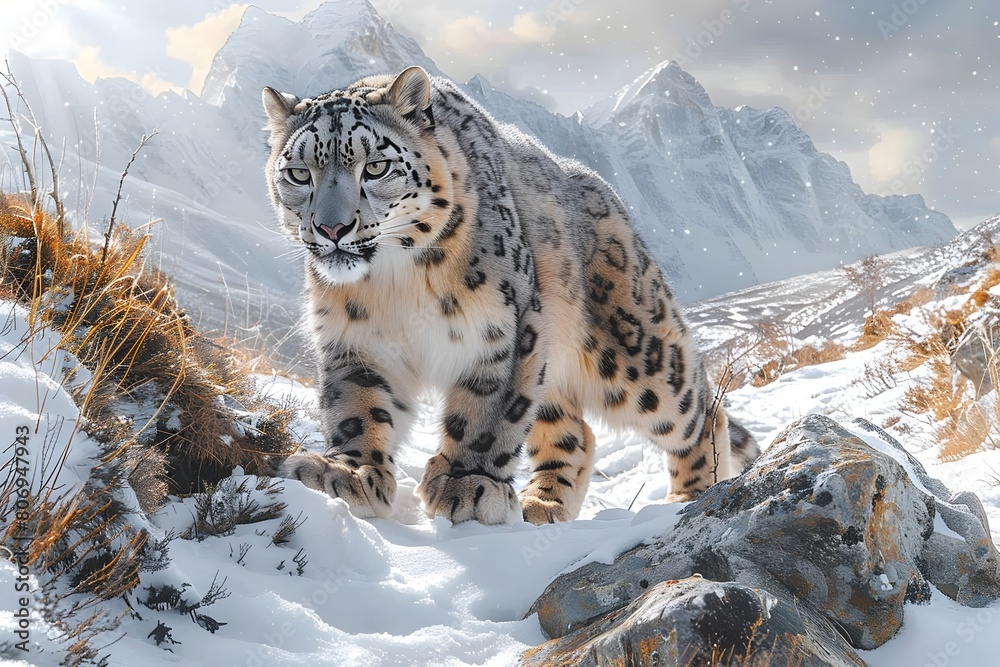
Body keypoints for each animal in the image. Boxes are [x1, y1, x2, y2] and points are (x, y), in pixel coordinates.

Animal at [262, 66, 758, 525]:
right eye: (299, 174)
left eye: (376, 167)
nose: (332, 228)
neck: (394, 281)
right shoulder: (354, 338)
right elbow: (356, 405)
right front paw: (349, 474)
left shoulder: (502, 330)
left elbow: (487, 414)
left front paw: (466, 484)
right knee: (574, 433)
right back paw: (542, 505)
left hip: (634, 350)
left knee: (696, 407)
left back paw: (689, 496)